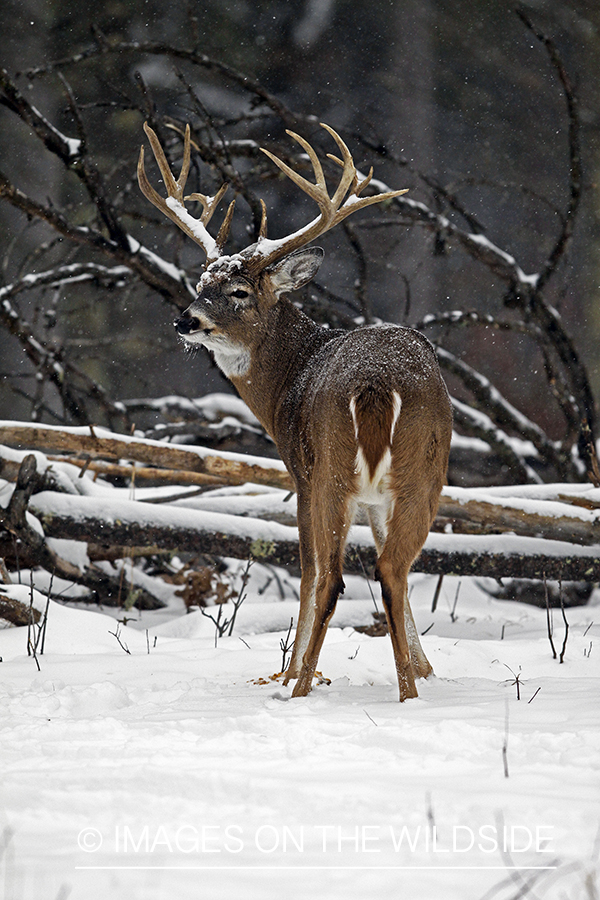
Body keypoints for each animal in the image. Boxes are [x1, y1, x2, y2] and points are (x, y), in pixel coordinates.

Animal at [139, 119, 450, 700]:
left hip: (331, 470)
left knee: (329, 575)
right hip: (415, 474)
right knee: (391, 569)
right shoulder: (376, 501)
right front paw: (424, 667)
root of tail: (376, 382)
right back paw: (407, 690)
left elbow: (307, 571)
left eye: (238, 291)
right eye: (201, 283)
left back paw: (300, 684)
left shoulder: (300, 472)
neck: (292, 375)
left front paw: (285, 672)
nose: (185, 321)